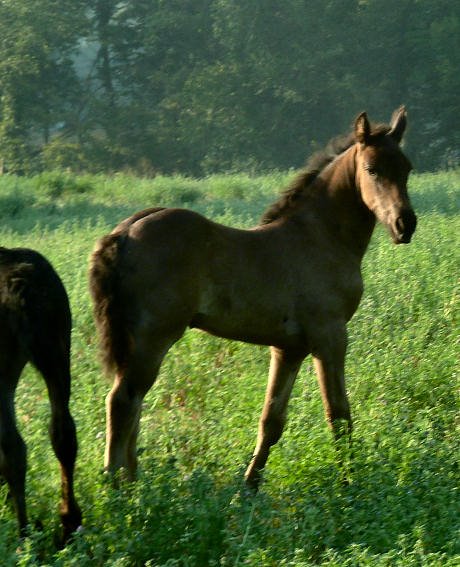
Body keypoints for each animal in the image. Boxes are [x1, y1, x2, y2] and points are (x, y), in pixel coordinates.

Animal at [89, 107, 417, 490]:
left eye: (407, 168)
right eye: (371, 169)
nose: (405, 224)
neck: (320, 236)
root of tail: (124, 232)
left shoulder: (289, 348)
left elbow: (272, 419)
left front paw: (249, 486)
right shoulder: (330, 337)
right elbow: (338, 414)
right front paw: (352, 484)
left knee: (134, 404)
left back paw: (133, 482)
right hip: (152, 338)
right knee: (123, 401)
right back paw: (117, 488)